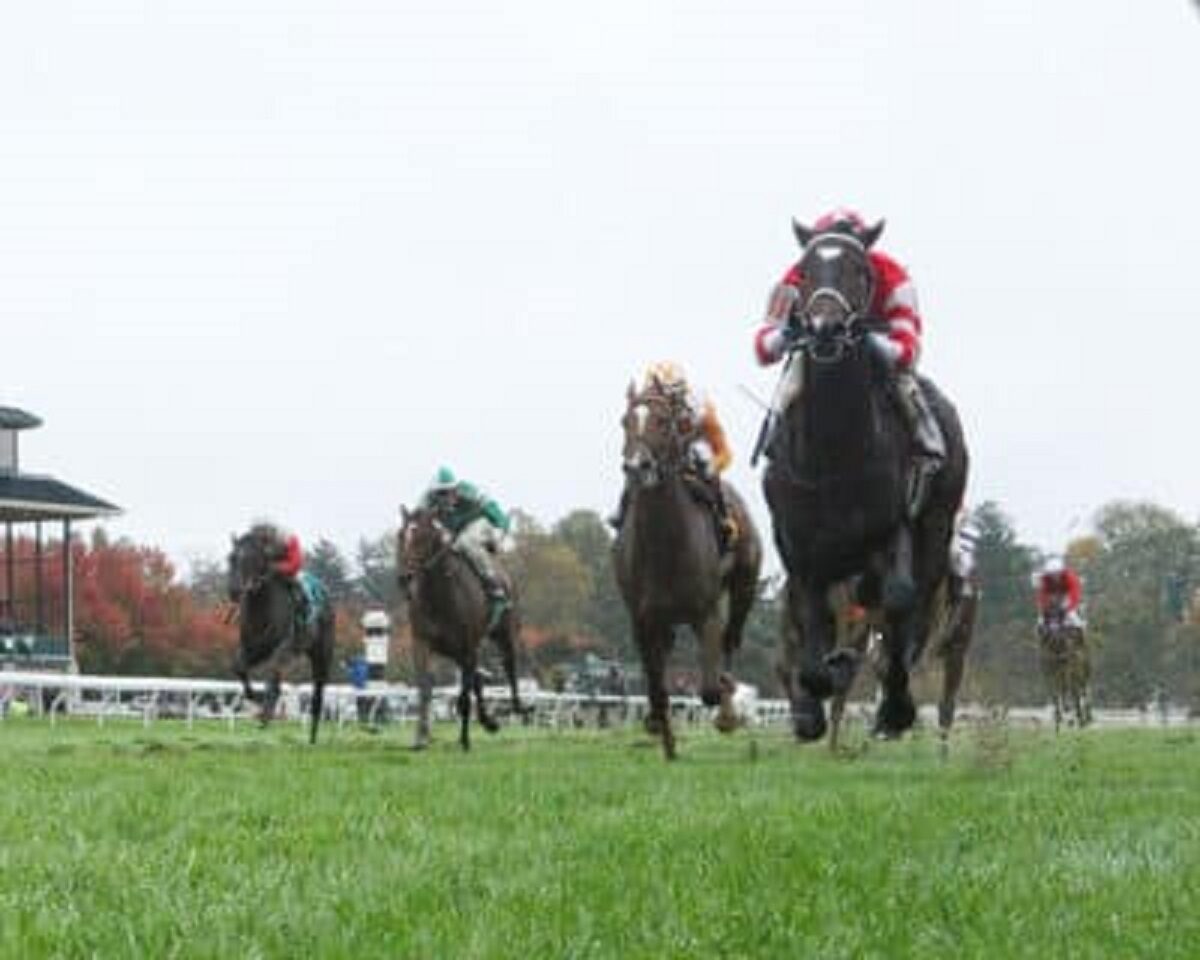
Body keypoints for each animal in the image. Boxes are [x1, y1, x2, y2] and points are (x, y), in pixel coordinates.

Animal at [226, 525, 333, 744]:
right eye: (231, 558)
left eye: (251, 559)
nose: (233, 590)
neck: (262, 608)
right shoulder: (252, 648)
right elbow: (239, 668)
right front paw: (256, 699)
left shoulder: (284, 647)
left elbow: (272, 672)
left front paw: (266, 712)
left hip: (321, 654)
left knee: (318, 692)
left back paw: (313, 736)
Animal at [398, 506, 525, 753]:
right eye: (400, 536)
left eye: (421, 538)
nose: (404, 577)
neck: (440, 596)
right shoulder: (422, 642)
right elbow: (425, 689)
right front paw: (420, 738)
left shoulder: (468, 645)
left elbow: (465, 698)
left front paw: (465, 741)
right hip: (457, 650)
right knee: (477, 678)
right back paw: (488, 721)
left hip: (502, 633)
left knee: (509, 664)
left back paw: (517, 708)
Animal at [614, 379, 763, 763]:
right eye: (625, 421)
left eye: (663, 421)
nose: (637, 467)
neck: (665, 544)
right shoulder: (643, 619)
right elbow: (657, 689)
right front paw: (664, 738)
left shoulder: (705, 613)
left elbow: (709, 687)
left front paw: (728, 709)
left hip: (742, 588)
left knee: (730, 639)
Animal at [763, 225, 969, 744]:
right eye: (806, 269)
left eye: (860, 270)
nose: (825, 328)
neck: (833, 449)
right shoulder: (800, 549)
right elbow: (809, 626)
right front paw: (813, 702)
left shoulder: (891, 530)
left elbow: (898, 601)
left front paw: (893, 706)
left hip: (935, 530)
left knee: (909, 610)